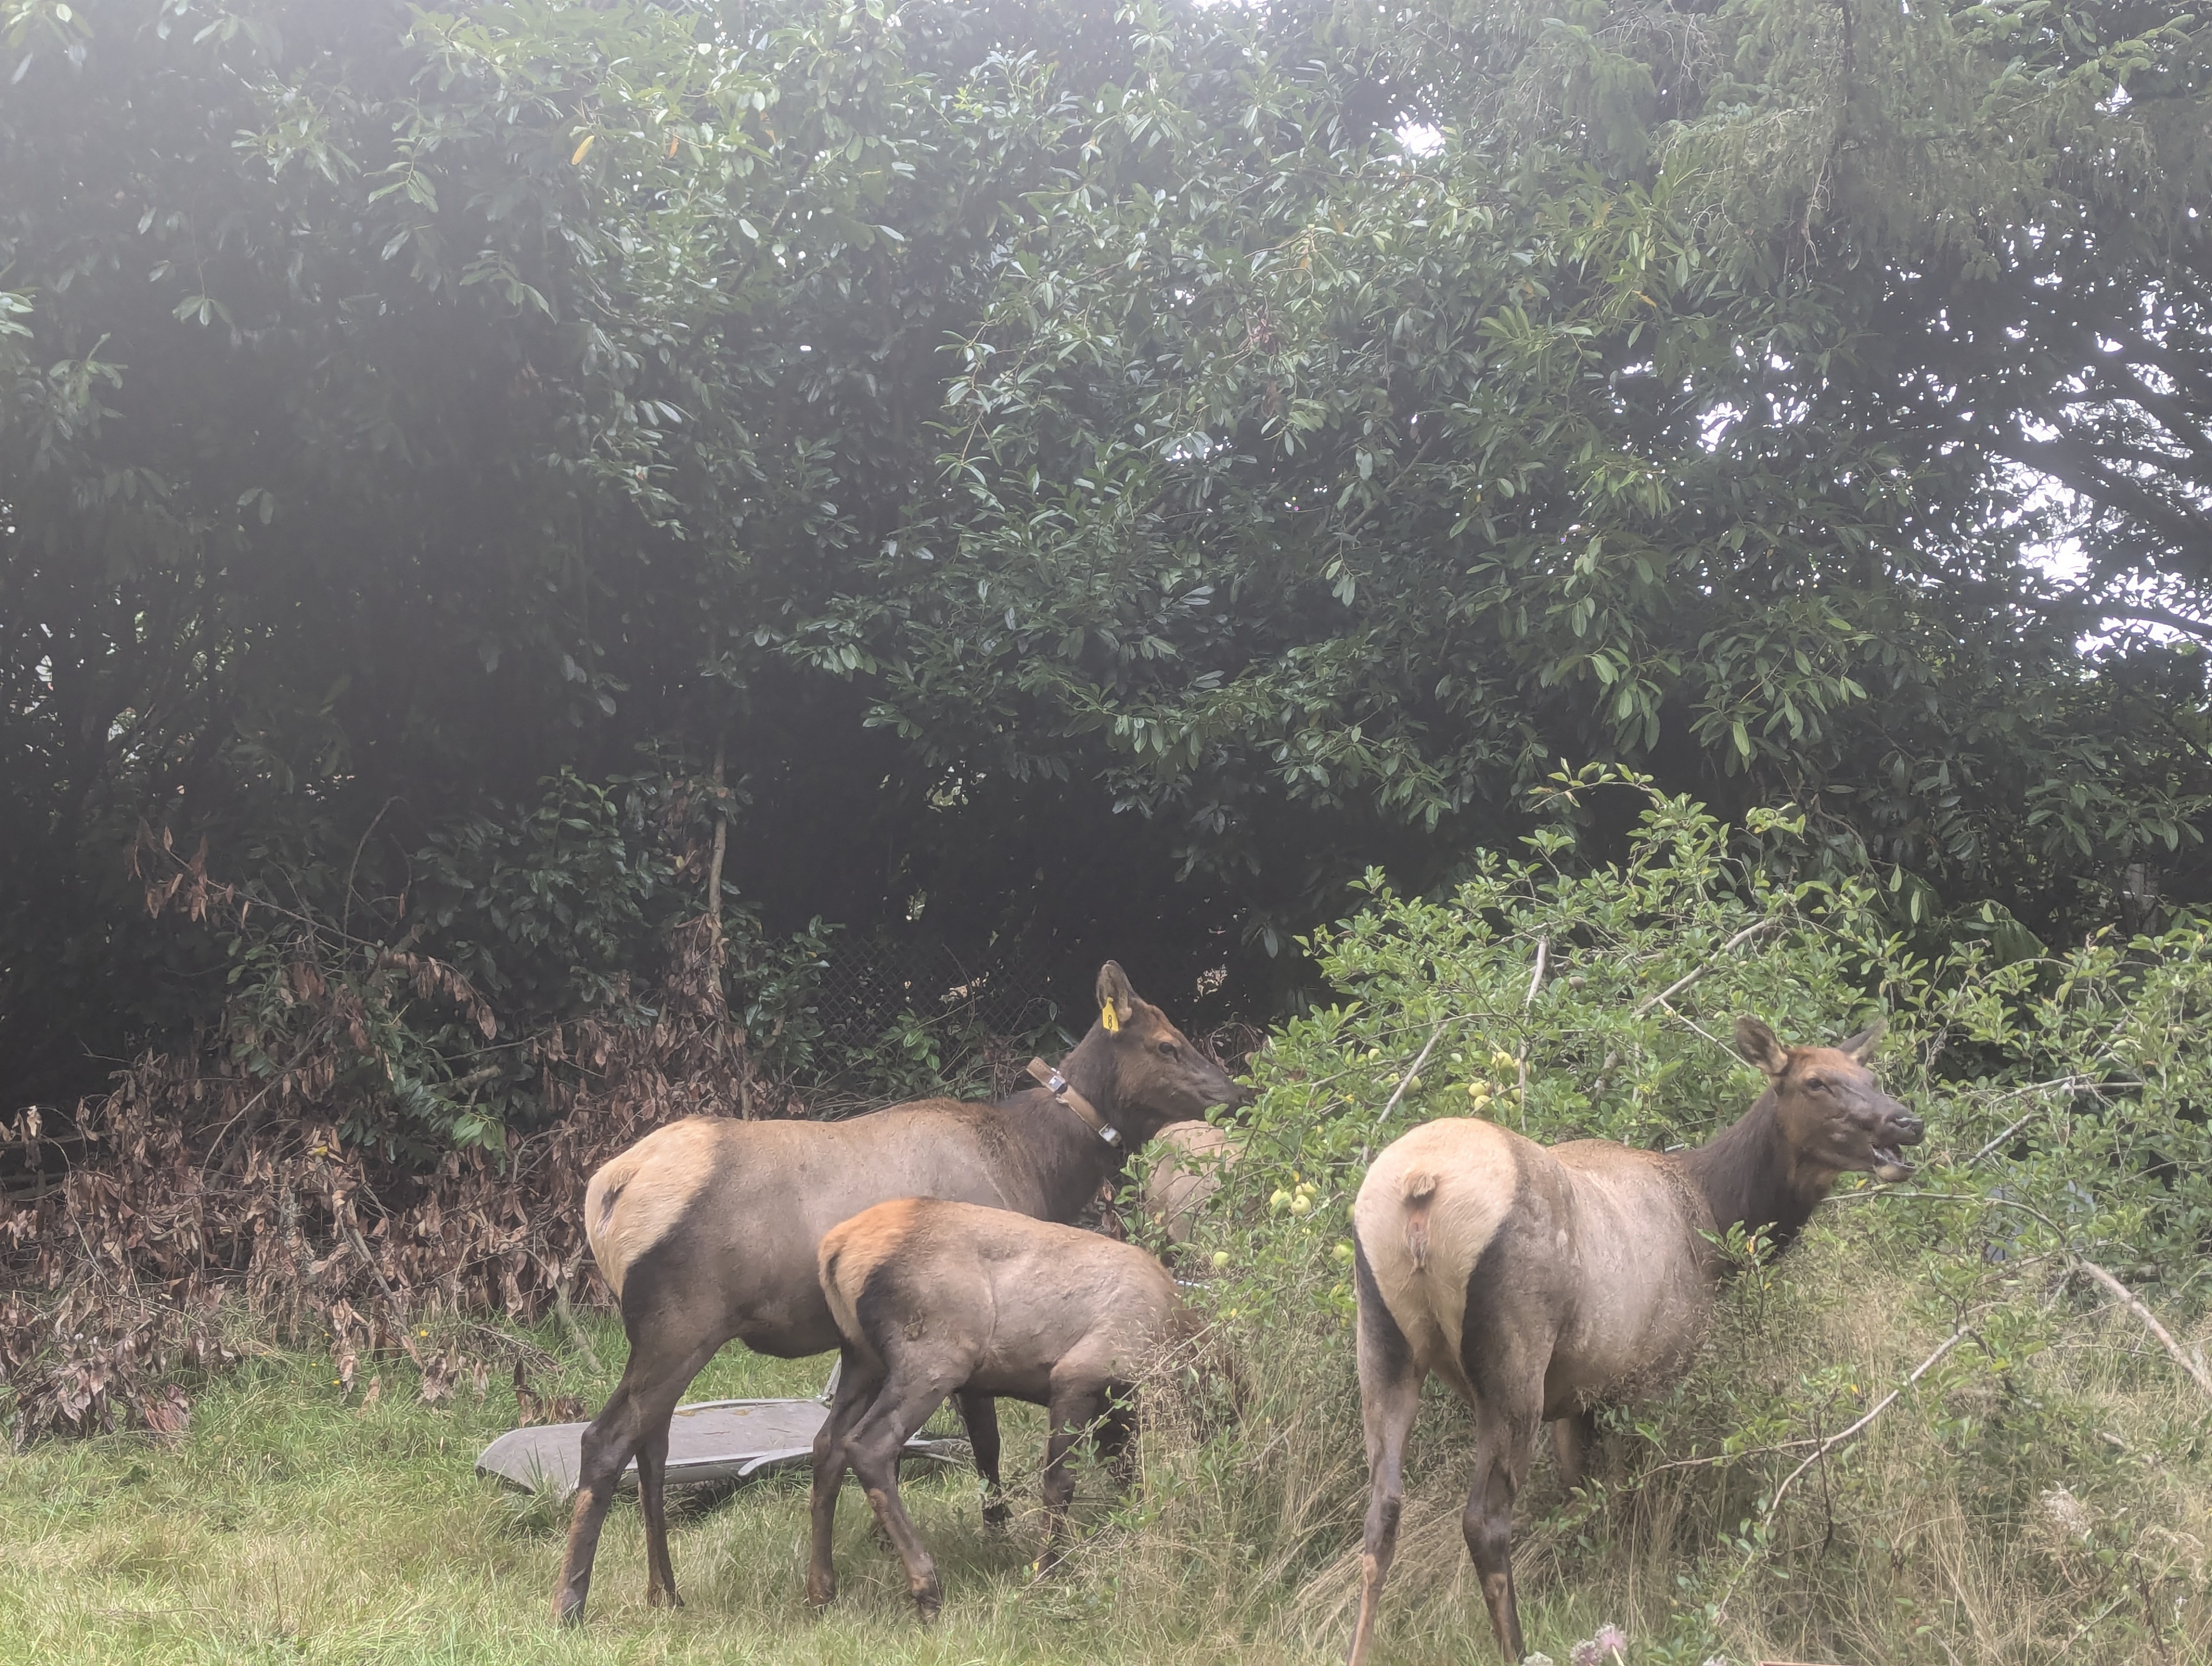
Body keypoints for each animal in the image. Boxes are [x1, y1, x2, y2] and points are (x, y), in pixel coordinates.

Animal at [807, 1196, 1192, 1617]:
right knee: (868, 1446)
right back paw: (927, 1587)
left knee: (826, 1445)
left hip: (862, 1359)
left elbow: (1127, 1473)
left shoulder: (1114, 1402)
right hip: (933, 1359)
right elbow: (1060, 1482)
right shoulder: (1078, 1376)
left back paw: (821, 1588)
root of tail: (836, 1250)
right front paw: (1045, 1573)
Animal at [1345, 1016, 1924, 1665]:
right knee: (1485, 1520)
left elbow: (1582, 1499)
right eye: (1816, 1081)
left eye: (1869, 1077)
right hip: (1514, 1358)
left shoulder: (1577, 1395)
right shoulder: (1644, 1379)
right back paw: (1518, 1647)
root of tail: (1422, 1185)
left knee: (1382, 1508)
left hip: (1382, 1338)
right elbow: (1629, 1501)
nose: (1907, 1122)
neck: (1716, 1227)